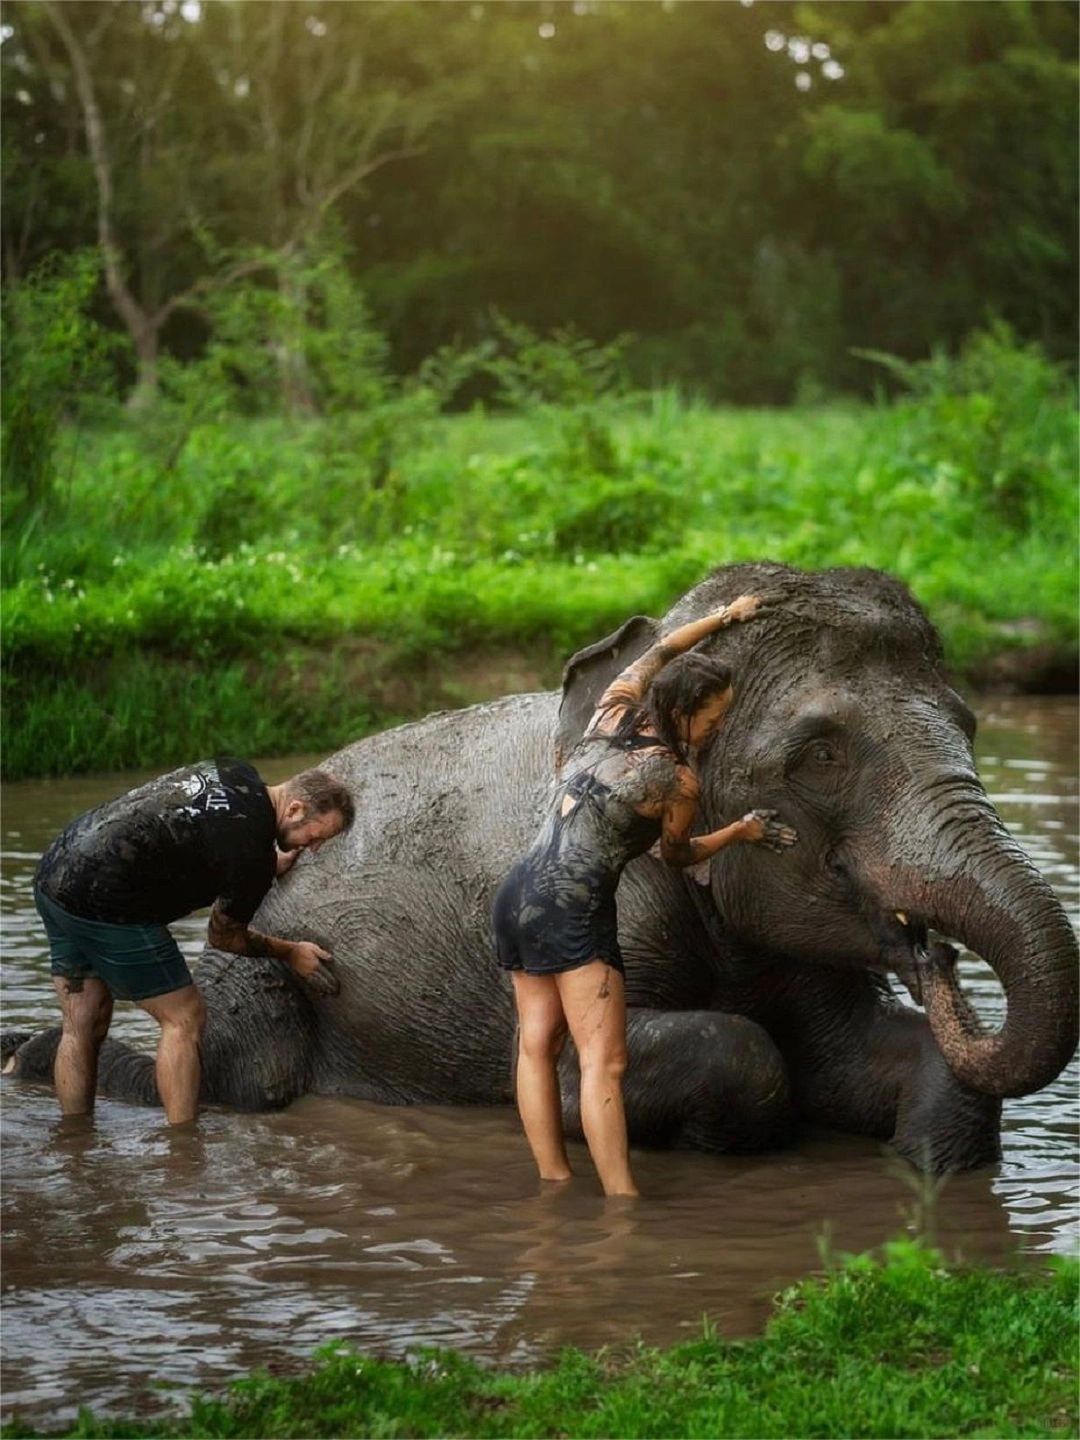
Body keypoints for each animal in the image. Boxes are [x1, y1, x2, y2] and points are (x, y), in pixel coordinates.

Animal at [4, 561, 1077, 1169]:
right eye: (820, 757)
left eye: (972, 725)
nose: (932, 953)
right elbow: (706, 1057)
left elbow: (861, 1054)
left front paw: (924, 1173)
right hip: (259, 967)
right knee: (246, 1072)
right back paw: (34, 1061)